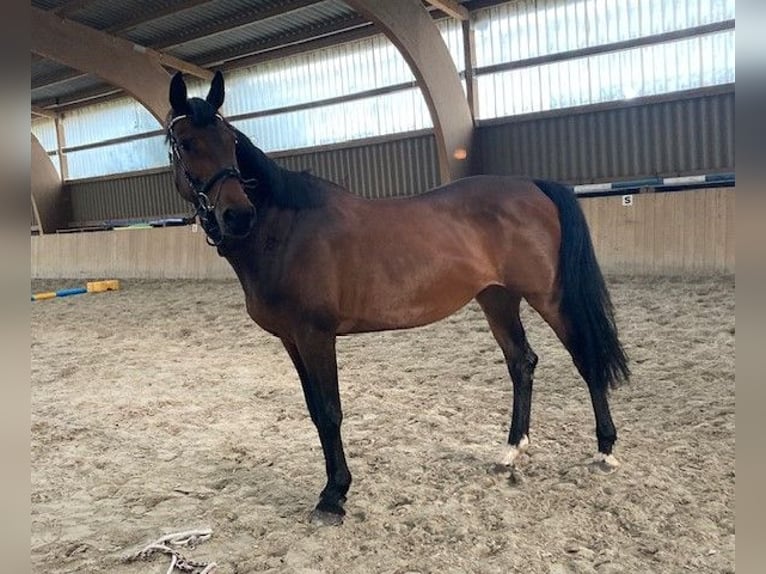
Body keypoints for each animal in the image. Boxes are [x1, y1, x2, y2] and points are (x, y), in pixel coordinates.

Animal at [166, 71, 632, 528]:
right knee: (522, 363)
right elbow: (315, 411)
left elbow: (331, 411)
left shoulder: (316, 335)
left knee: (585, 357)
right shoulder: (291, 339)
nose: (237, 215)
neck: (285, 228)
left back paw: (605, 451)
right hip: (497, 299)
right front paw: (332, 488)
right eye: (187, 143)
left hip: (547, 297)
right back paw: (511, 450)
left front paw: (334, 496)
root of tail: (533, 186)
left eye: (231, 142)